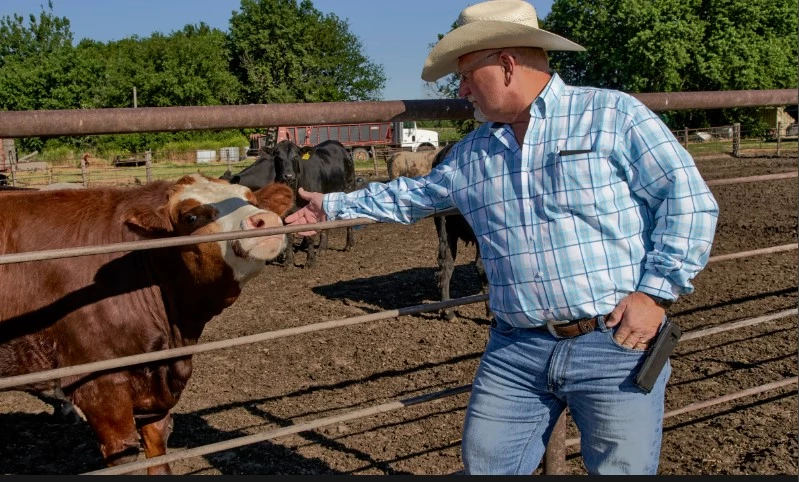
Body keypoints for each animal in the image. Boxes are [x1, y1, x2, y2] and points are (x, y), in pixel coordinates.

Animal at [0, 173, 294, 474]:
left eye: (252, 200)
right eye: (190, 216)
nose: (264, 219)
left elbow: (158, 445)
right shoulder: (100, 384)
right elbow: (123, 453)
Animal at [284, 139, 354, 270]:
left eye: (296, 156)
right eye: (277, 156)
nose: (288, 175)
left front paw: (310, 261)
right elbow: (290, 234)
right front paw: (289, 262)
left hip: (348, 188)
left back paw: (349, 245)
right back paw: (322, 247)